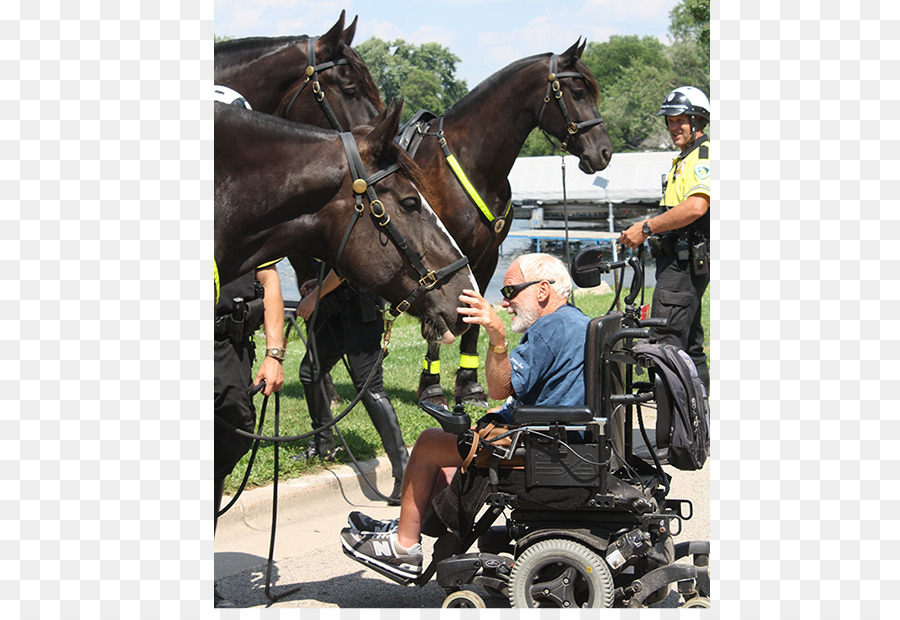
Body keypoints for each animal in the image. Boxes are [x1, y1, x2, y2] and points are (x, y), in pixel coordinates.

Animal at [404, 40, 616, 406]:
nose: (603, 152)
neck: (471, 162)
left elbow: (473, 316)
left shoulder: (485, 256)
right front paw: (431, 387)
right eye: (577, 91)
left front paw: (470, 385)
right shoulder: (438, 263)